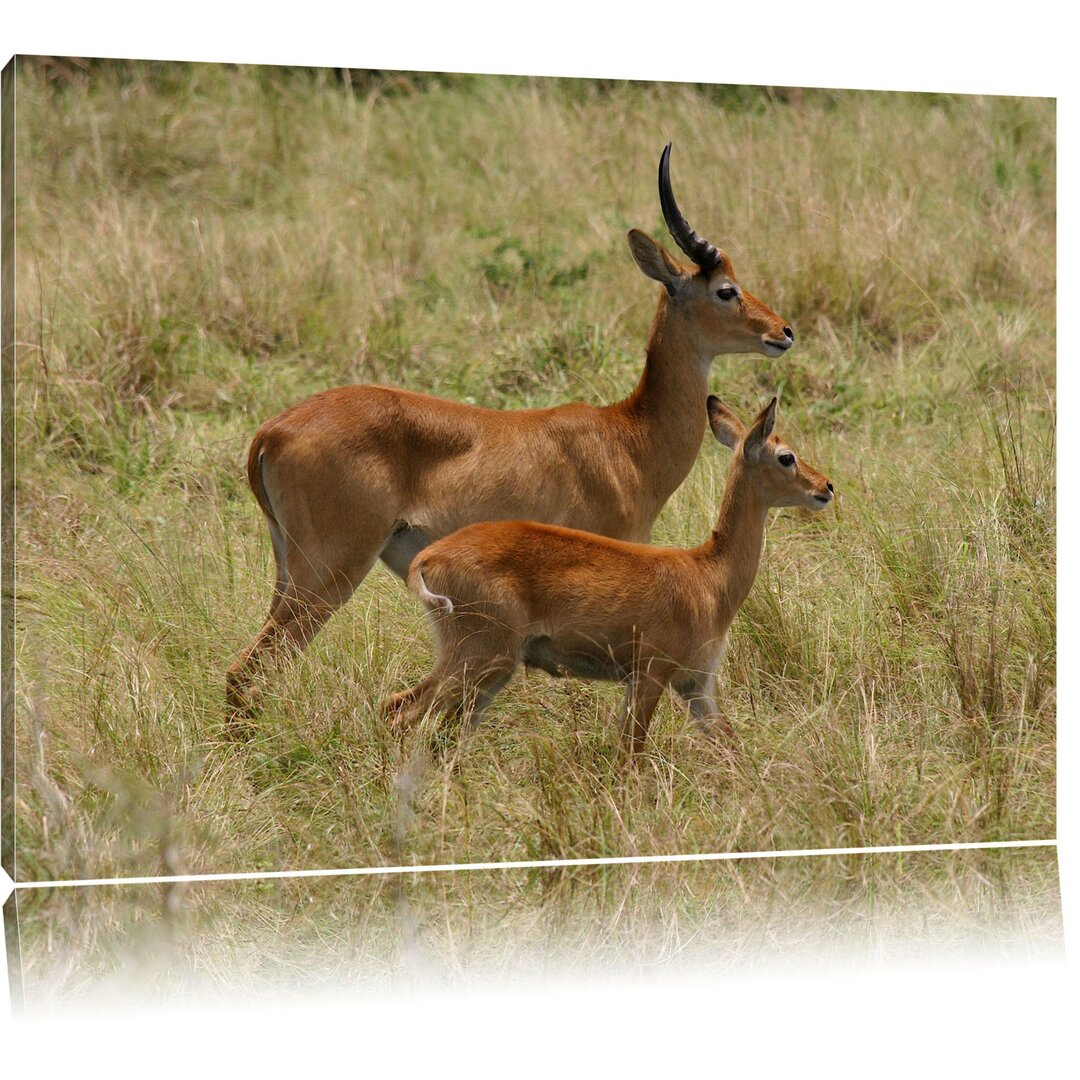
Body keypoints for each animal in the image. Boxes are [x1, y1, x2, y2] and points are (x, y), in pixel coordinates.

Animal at [225, 141, 794, 717]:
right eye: (725, 290)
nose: (783, 332)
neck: (630, 438)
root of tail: (271, 432)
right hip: (329, 572)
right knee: (248, 669)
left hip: (291, 569)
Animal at [388, 393, 833, 756]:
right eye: (786, 456)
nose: (826, 487)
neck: (709, 576)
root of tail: (427, 559)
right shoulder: (651, 675)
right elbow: (630, 753)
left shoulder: (696, 684)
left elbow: (732, 746)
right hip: (479, 657)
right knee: (398, 710)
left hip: (491, 671)